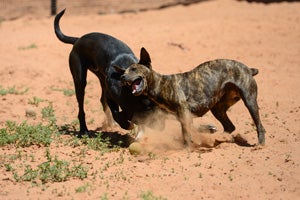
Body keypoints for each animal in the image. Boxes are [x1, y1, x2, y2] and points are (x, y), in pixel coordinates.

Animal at [116, 47, 266, 147]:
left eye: (134, 69)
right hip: (218, 109)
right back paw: (221, 139)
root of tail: (248, 69)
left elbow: (186, 134)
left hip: (250, 102)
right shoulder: (182, 116)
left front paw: (186, 148)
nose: (122, 77)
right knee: (230, 127)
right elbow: (189, 130)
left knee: (259, 126)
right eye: (125, 71)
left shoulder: (183, 112)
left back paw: (260, 144)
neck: (160, 84)